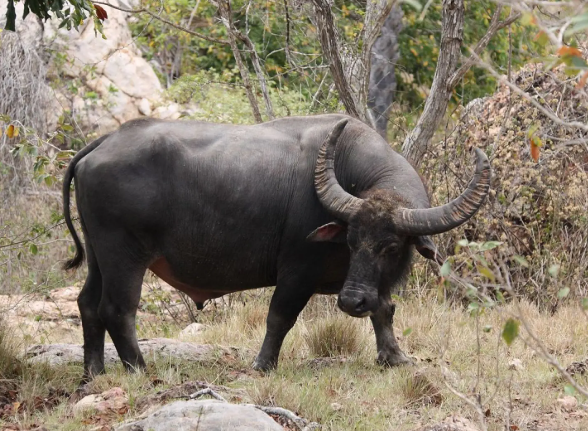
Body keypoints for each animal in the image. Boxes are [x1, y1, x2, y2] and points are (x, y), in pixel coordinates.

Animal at [62, 113, 490, 380]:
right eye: (351, 241)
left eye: (389, 247)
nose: (350, 301)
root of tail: (104, 143)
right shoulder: (297, 271)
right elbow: (280, 316)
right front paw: (263, 364)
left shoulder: (373, 281)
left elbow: (384, 309)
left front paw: (394, 357)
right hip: (124, 255)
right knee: (118, 310)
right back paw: (139, 369)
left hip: (100, 257)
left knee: (88, 304)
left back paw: (93, 372)